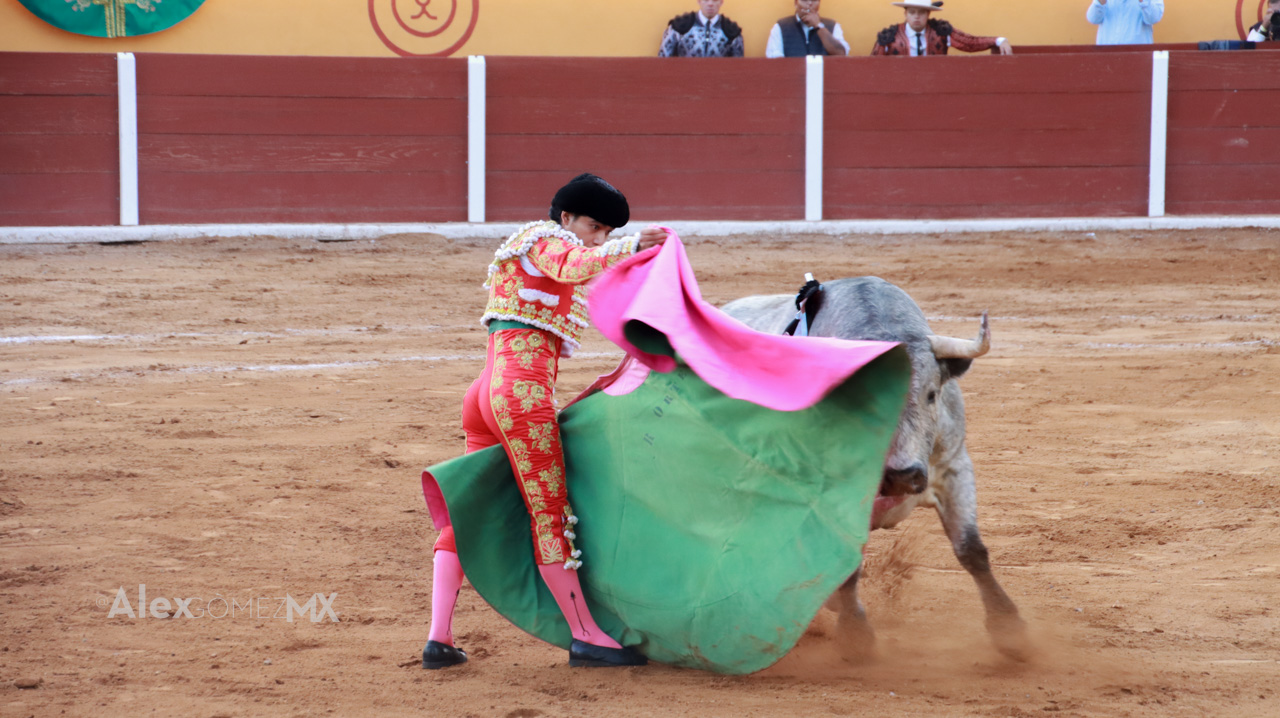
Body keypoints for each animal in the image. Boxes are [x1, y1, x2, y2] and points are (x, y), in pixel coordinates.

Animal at [727, 275, 1024, 660]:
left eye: (932, 394)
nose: (901, 477)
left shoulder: (954, 467)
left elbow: (971, 550)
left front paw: (1010, 631)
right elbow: (847, 564)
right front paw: (856, 636)